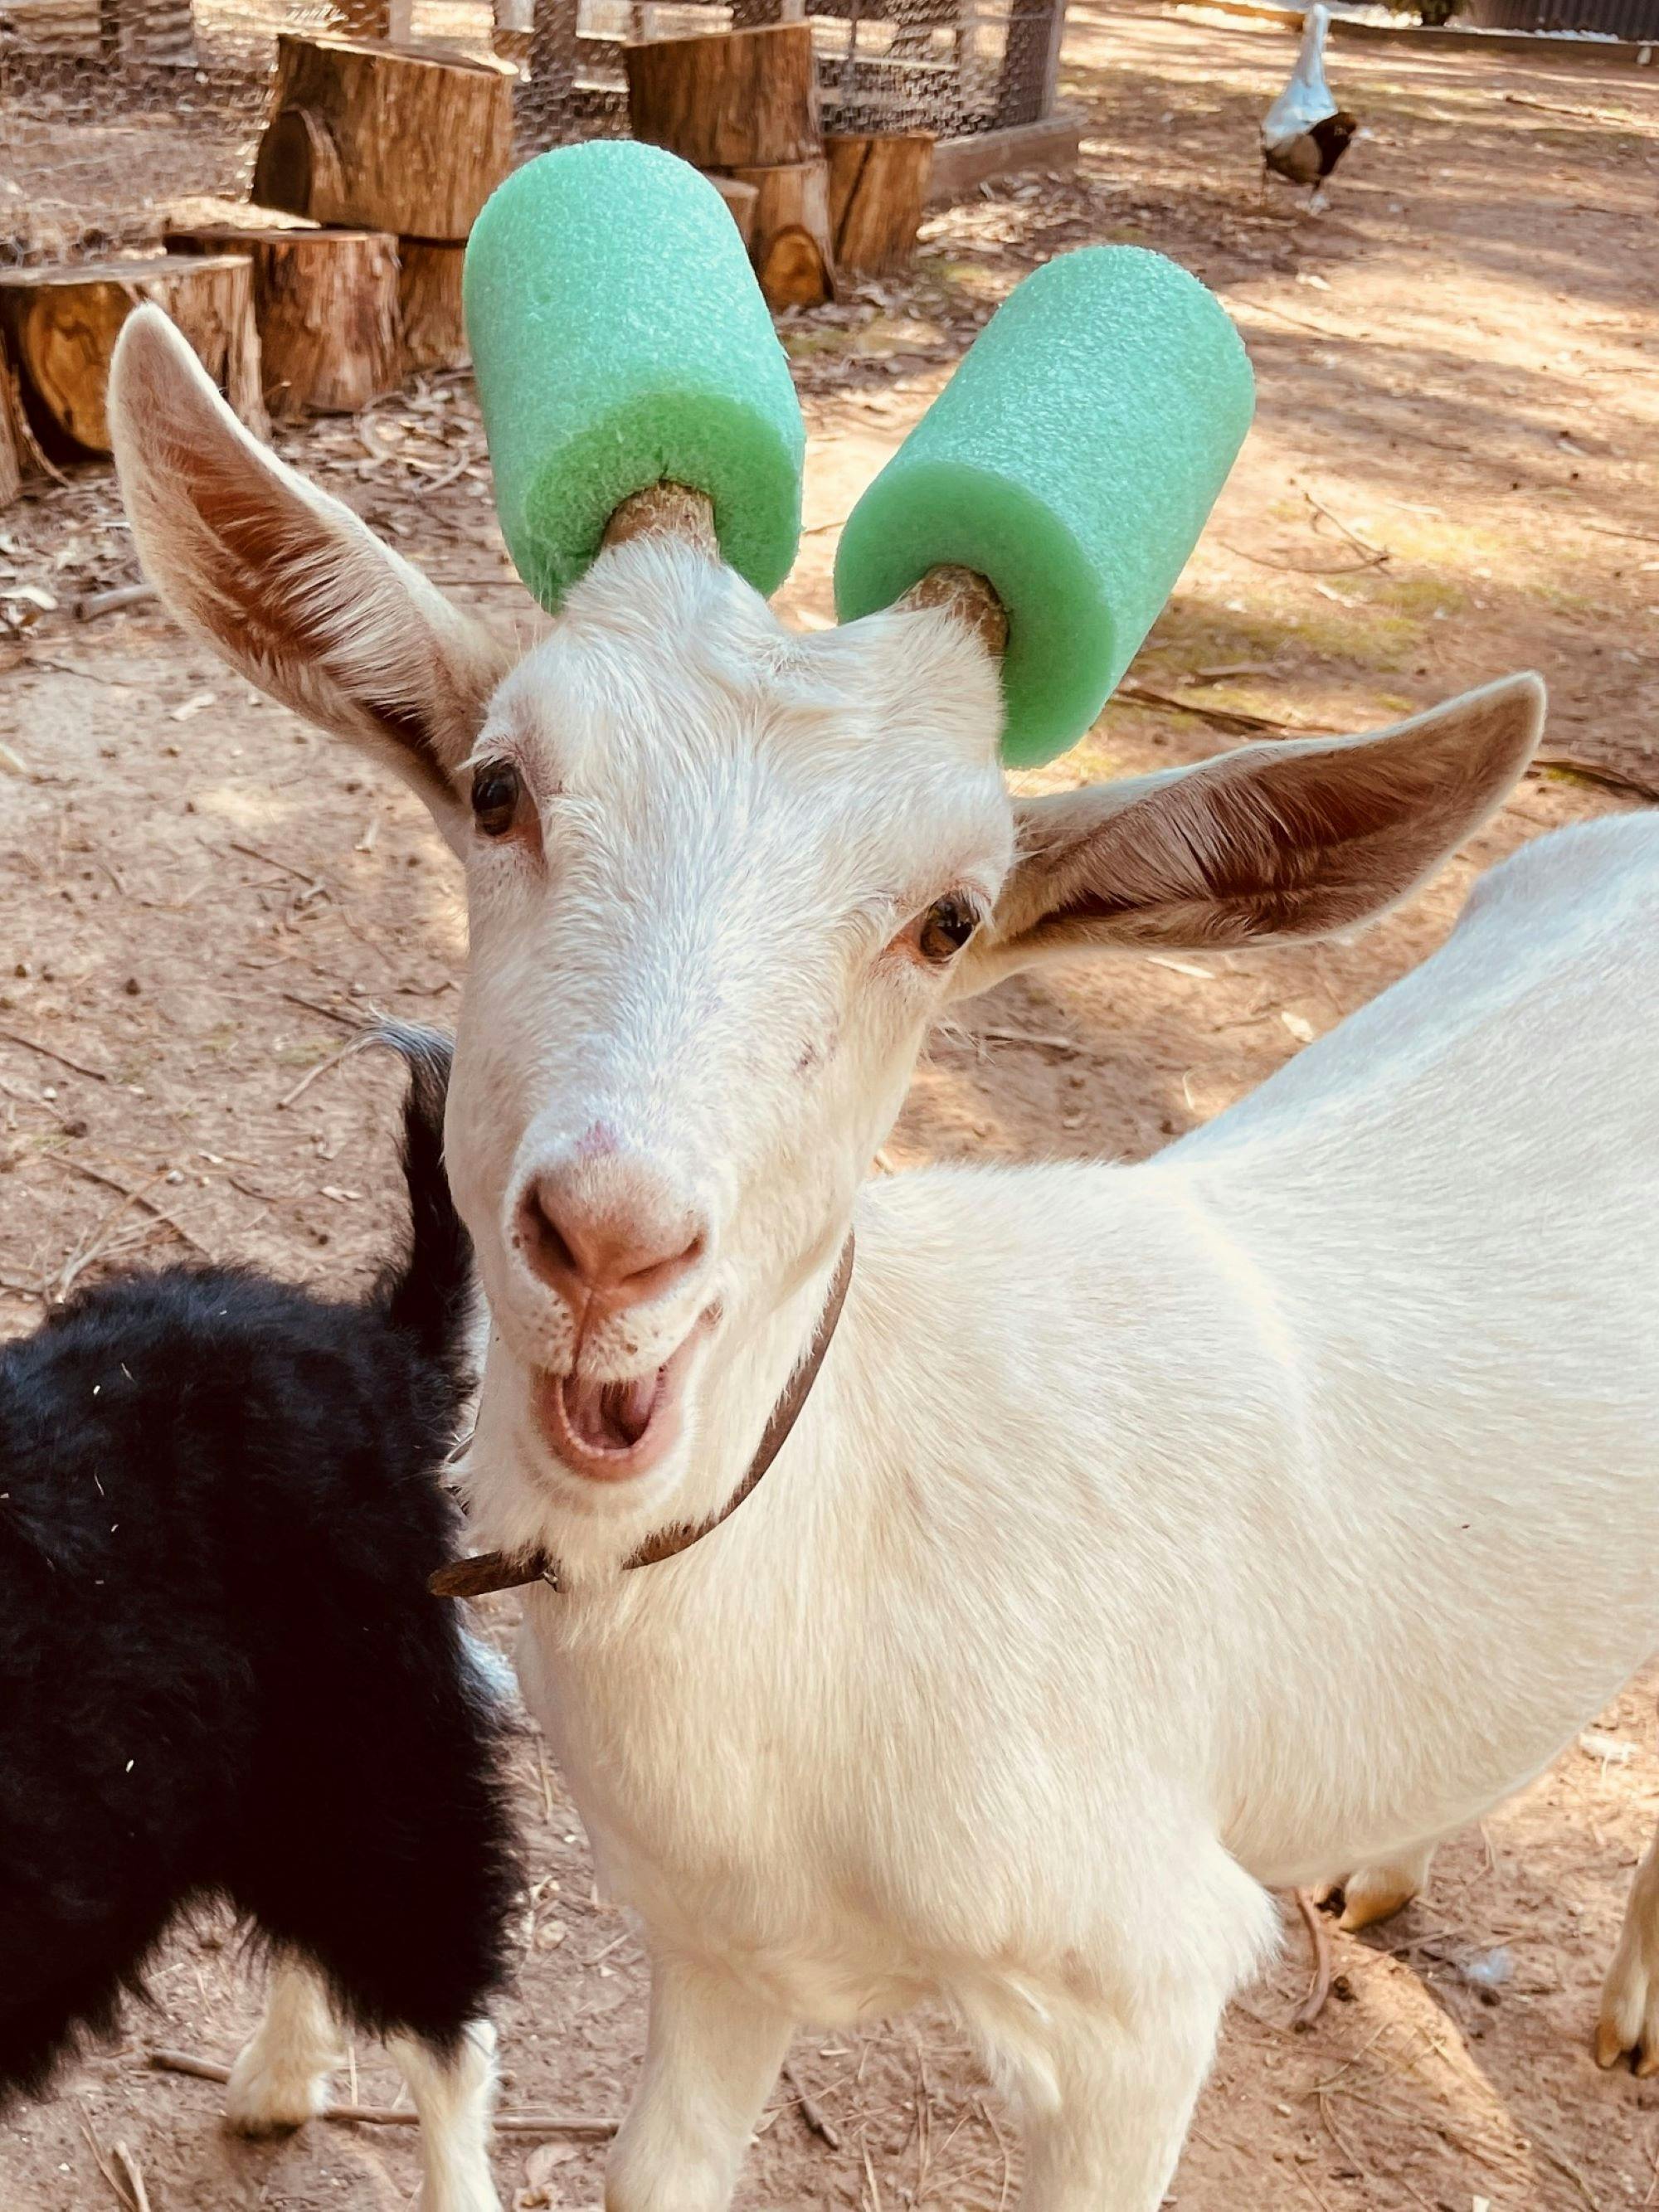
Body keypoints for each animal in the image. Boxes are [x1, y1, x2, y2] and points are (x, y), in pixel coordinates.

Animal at [110, 302, 1659, 2212]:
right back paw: (1385, 1878)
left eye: (951, 919)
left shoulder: (1144, 1991)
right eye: (497, 788)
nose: (611, 1239)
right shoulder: (723, 1950)